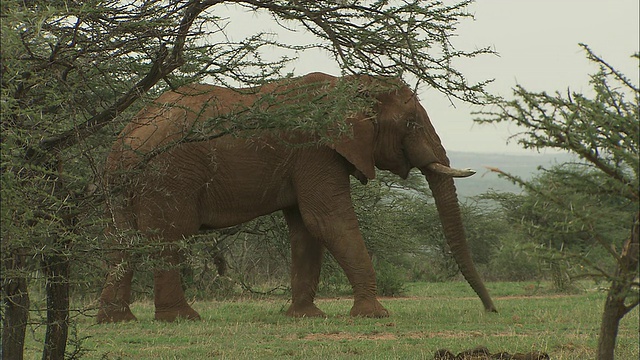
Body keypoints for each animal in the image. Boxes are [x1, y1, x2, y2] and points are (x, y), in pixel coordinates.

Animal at [95, 71, 498, 322]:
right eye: (411, 123)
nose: (490, 311)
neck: (348, 84)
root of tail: (127, 135)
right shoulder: (316, 149)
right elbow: (329, 220)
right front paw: (375, 315)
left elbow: (306, 228)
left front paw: (305, 317)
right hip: (168, 174)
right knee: (169, 239)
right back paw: (182, 319)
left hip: (123, 181)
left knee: (121, 243)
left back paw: (118, 321)